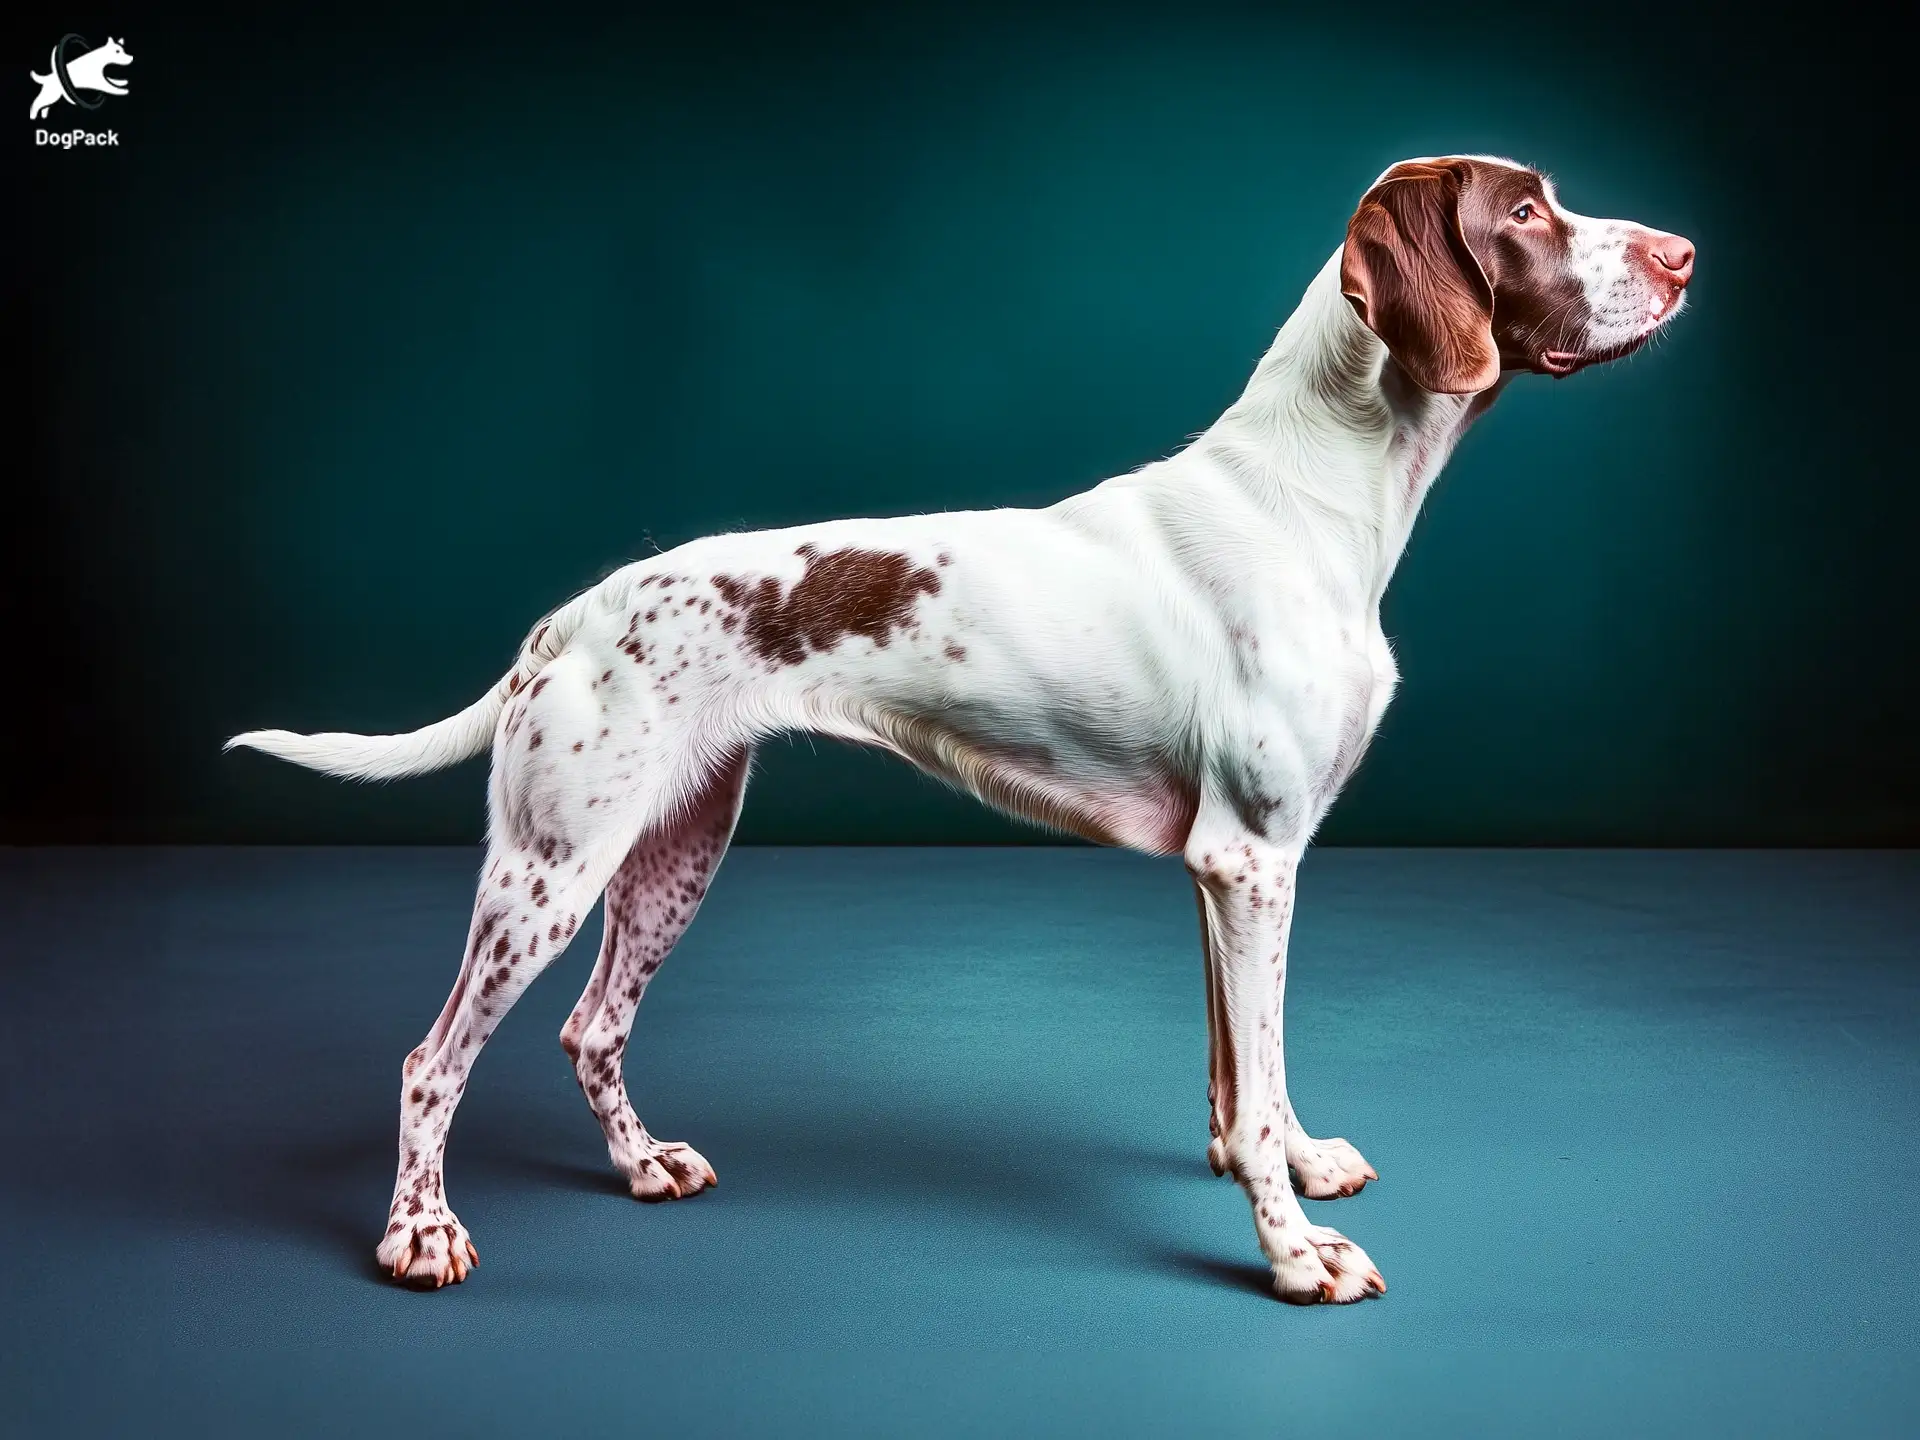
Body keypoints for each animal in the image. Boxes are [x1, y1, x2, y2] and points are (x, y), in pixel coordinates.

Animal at [228, 152, 1697, 1305]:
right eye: (1525, 210)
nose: (1684, 253)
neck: (1309, 494)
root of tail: (567, 617)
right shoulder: (1250, 862)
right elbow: (1258, 1079)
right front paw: (1294, 1259)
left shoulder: (1232, 872)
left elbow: (1248, 1086)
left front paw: (1291, 1166)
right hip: (550, 867)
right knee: (431, 1062)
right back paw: (421, 1234)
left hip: (673, 852)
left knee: (592, 1031)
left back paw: (642, 1165)